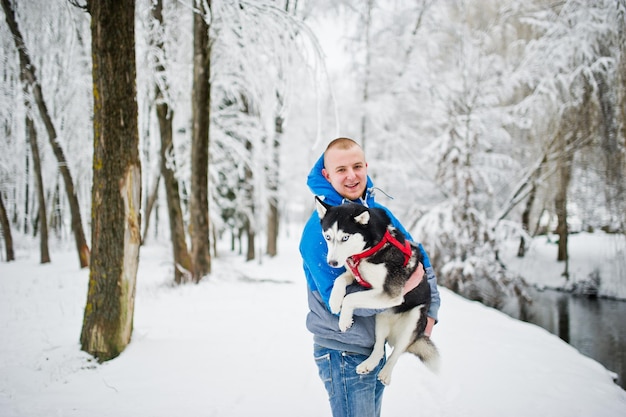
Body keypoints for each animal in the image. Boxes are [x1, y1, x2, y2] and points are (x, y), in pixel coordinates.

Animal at [314, 197, 436, 386]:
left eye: (345, 237)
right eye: (328, 237)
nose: (332, 263)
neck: (370, 248)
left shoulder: (389, 293)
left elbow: (350, 298)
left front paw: (344, 320)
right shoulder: (355, 275)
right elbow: (340, 280)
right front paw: (334, 301)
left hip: (412, 321)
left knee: (397, 352)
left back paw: (386, 373)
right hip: (380, 318)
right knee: (379, 348)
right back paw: (369, 363)